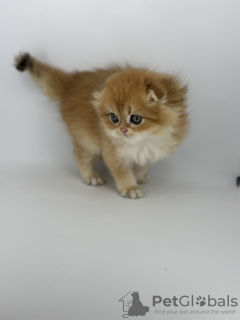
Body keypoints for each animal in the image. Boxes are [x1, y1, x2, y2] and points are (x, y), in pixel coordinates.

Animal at [15, 52, 188, 198]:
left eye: (136, 119)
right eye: (114, 118)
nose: (122, 129)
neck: (145, 139)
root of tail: (70, 83)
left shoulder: (151, 152)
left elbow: (141, 166)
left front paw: (139, 177)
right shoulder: (112, 152)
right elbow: (123, 172)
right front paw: (130, 188)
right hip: (87, 139)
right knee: (79, 154)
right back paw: (91, 176)